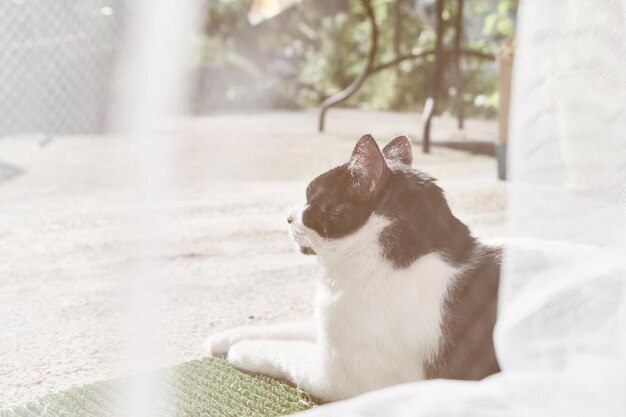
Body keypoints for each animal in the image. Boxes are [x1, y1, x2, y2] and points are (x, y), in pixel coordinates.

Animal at [207, 135, 500, 402]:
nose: (288, 216)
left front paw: (240, 349)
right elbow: (283, 328)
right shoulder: (331, 328)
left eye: (311, 199)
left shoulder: (335, 376)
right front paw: (226, 337)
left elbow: (283, 352)